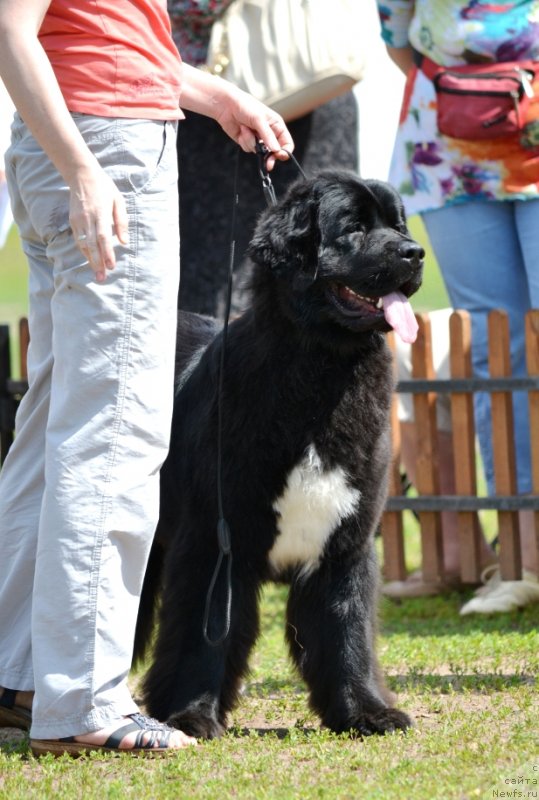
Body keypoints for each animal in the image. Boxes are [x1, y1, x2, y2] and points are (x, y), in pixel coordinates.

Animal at [138, 172, 426, 740]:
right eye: (355, 228)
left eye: (397, 224)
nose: (414, 252)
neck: (324, 372)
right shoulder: (214, 543)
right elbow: (202, 637)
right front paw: (190, 715)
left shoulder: (345, 545)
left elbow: (347, 630)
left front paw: (365, 711)